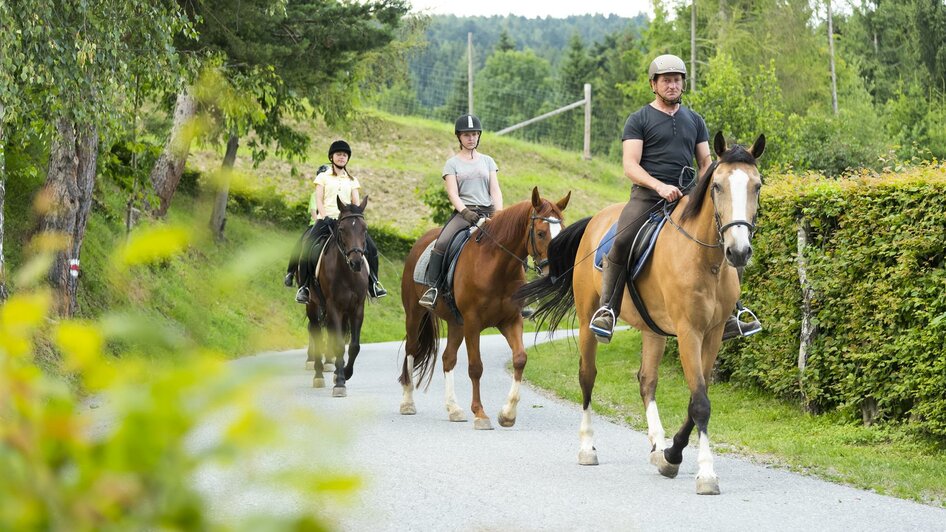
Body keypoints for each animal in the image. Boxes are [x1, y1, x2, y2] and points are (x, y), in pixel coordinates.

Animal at [302, 195, 372, 394]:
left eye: (364, 229)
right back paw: (318, 374)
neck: (347, 273)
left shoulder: (357, 308)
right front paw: (340, 382)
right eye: (342, 229)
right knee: (316, 331)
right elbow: (339, 344)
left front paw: (345, 374)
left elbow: (354, 346)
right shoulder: (333, 306)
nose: (356, 262)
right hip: (313, 305)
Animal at [396, 189, 568, 430]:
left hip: (456, 324)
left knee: (448, 359)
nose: (556, 275)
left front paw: (507, 414)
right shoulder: (473, 323)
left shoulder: (510, 321)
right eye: (541, 233)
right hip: (415, 314)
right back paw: (407, 403)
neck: (497, 266)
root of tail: (421, 242)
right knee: (412, 350)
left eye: (562, 231)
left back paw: (454, 409)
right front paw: (480, 414)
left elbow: (520, 359)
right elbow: (476, 367)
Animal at [516, 134, 768, 494]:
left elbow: (696, 398)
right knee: (587, 376)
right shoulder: (689, 331)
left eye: (757, 186)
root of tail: (596, 220)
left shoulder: (715, 333)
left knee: (647, 380)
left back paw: (657, 445)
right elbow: (701, 402)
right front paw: (706, 474)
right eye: (717, 186)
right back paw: (587, 447)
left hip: (654, 330)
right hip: (587, 321)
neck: (705, 260)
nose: (739, 251)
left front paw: (671, 454)